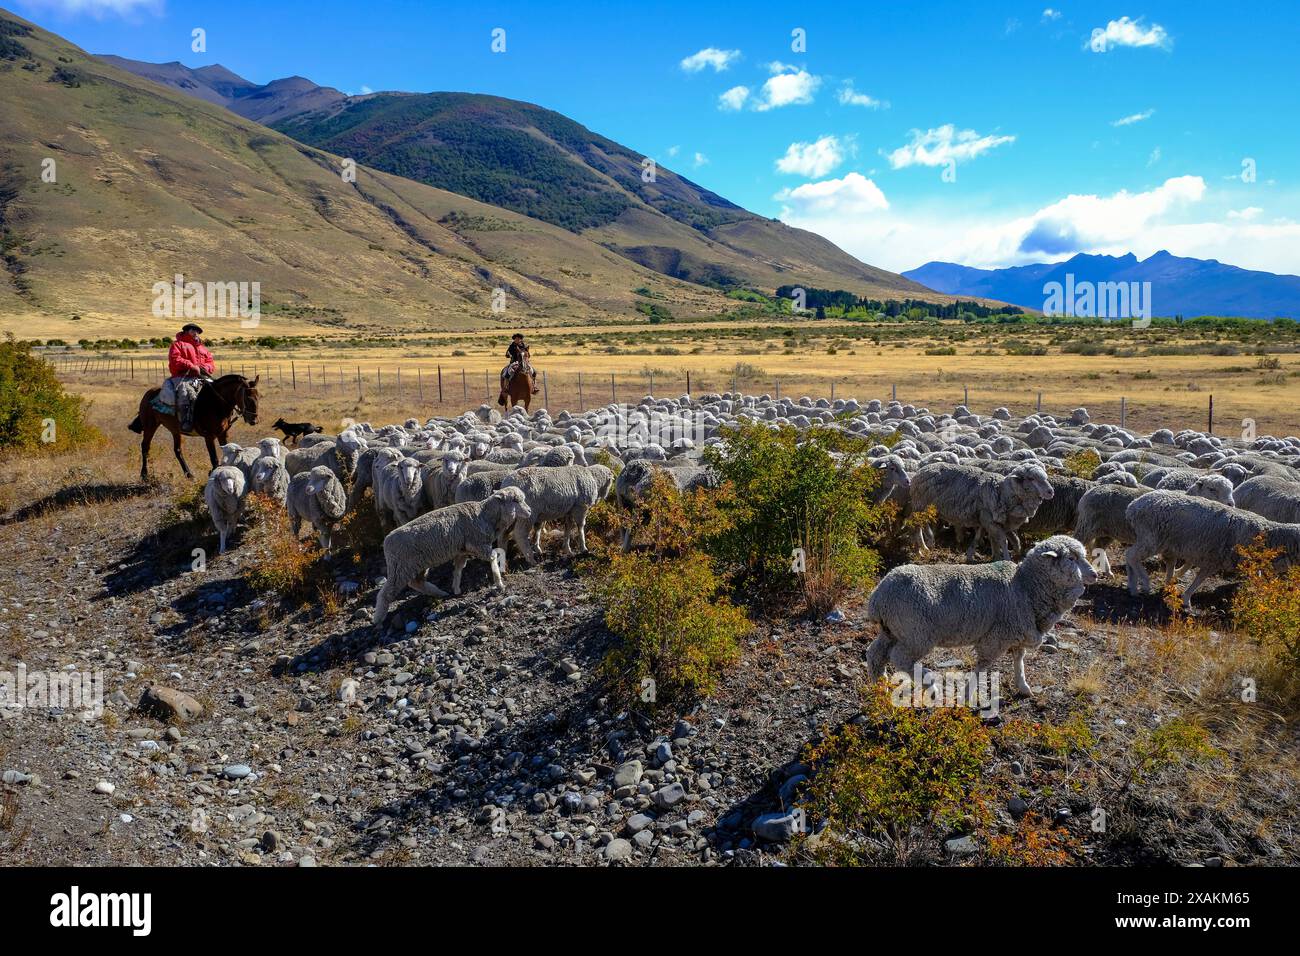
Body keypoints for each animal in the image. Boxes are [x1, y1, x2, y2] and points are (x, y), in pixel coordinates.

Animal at [372, 487, 535, 626]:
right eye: (515, 500)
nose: (529, 510)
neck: (485, 515)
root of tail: (386, 541)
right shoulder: (478, 544)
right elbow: (494, 556)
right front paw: (499, 582)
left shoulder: (462, 550)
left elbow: (458, 569)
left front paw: (456, 588)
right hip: (401, 568)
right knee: (386, 593)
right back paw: (378, 618)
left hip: (417, 564)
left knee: (416, 582)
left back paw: (439, 592)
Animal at [864, 535, 1097, 697]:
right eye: (1071, 558)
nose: (1094, 574)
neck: (1025, 585)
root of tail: (879, 596)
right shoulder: (997, 636)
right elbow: (983, 666)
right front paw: (968, 693)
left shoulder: (1018, 631)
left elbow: (1019, 660)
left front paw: (1023, 686)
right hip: (917, 633)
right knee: (900, 658)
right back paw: (930, 685)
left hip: (893, 631)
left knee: (875, 654)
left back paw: (881, 687)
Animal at [909, 462, 1055, 561]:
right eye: (1031, 478)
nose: (1051, 492)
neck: (1003, 493)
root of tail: (920, 471)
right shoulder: (989, 520)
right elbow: (1003, 541)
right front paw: (1006, 559)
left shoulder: (989, 521)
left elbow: (998, 538)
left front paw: (978, 554)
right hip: (920, 505)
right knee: (917, 527)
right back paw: (922, 548)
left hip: (926, 508)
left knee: (922, 525)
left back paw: (927, 543)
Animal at [1125, 490, 1300, 608]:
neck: (1271, 536)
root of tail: (1133, 506)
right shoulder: (1214, 559)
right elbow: (1199, 580)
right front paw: (1187, 600)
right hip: (1151, 538)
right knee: (1131, 555)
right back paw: (1145, 584)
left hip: (1158, 540)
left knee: (1135, 557)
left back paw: (1134, 587)